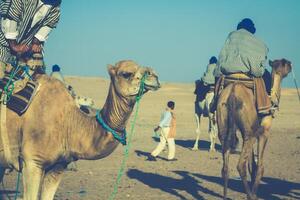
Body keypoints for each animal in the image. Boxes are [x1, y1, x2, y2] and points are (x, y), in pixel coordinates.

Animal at [217, 58, 292, 199]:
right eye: (285, 62)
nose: (291, 64)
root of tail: (233, 94)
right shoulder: (263, 132)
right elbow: (260, 166)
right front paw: (254, 192)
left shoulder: (253, 132)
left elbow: (252, 164)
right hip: (249, 134)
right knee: (240, 165)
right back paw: (251, 195)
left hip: (224, 125)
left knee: (225, 166)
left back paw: (225, 195)